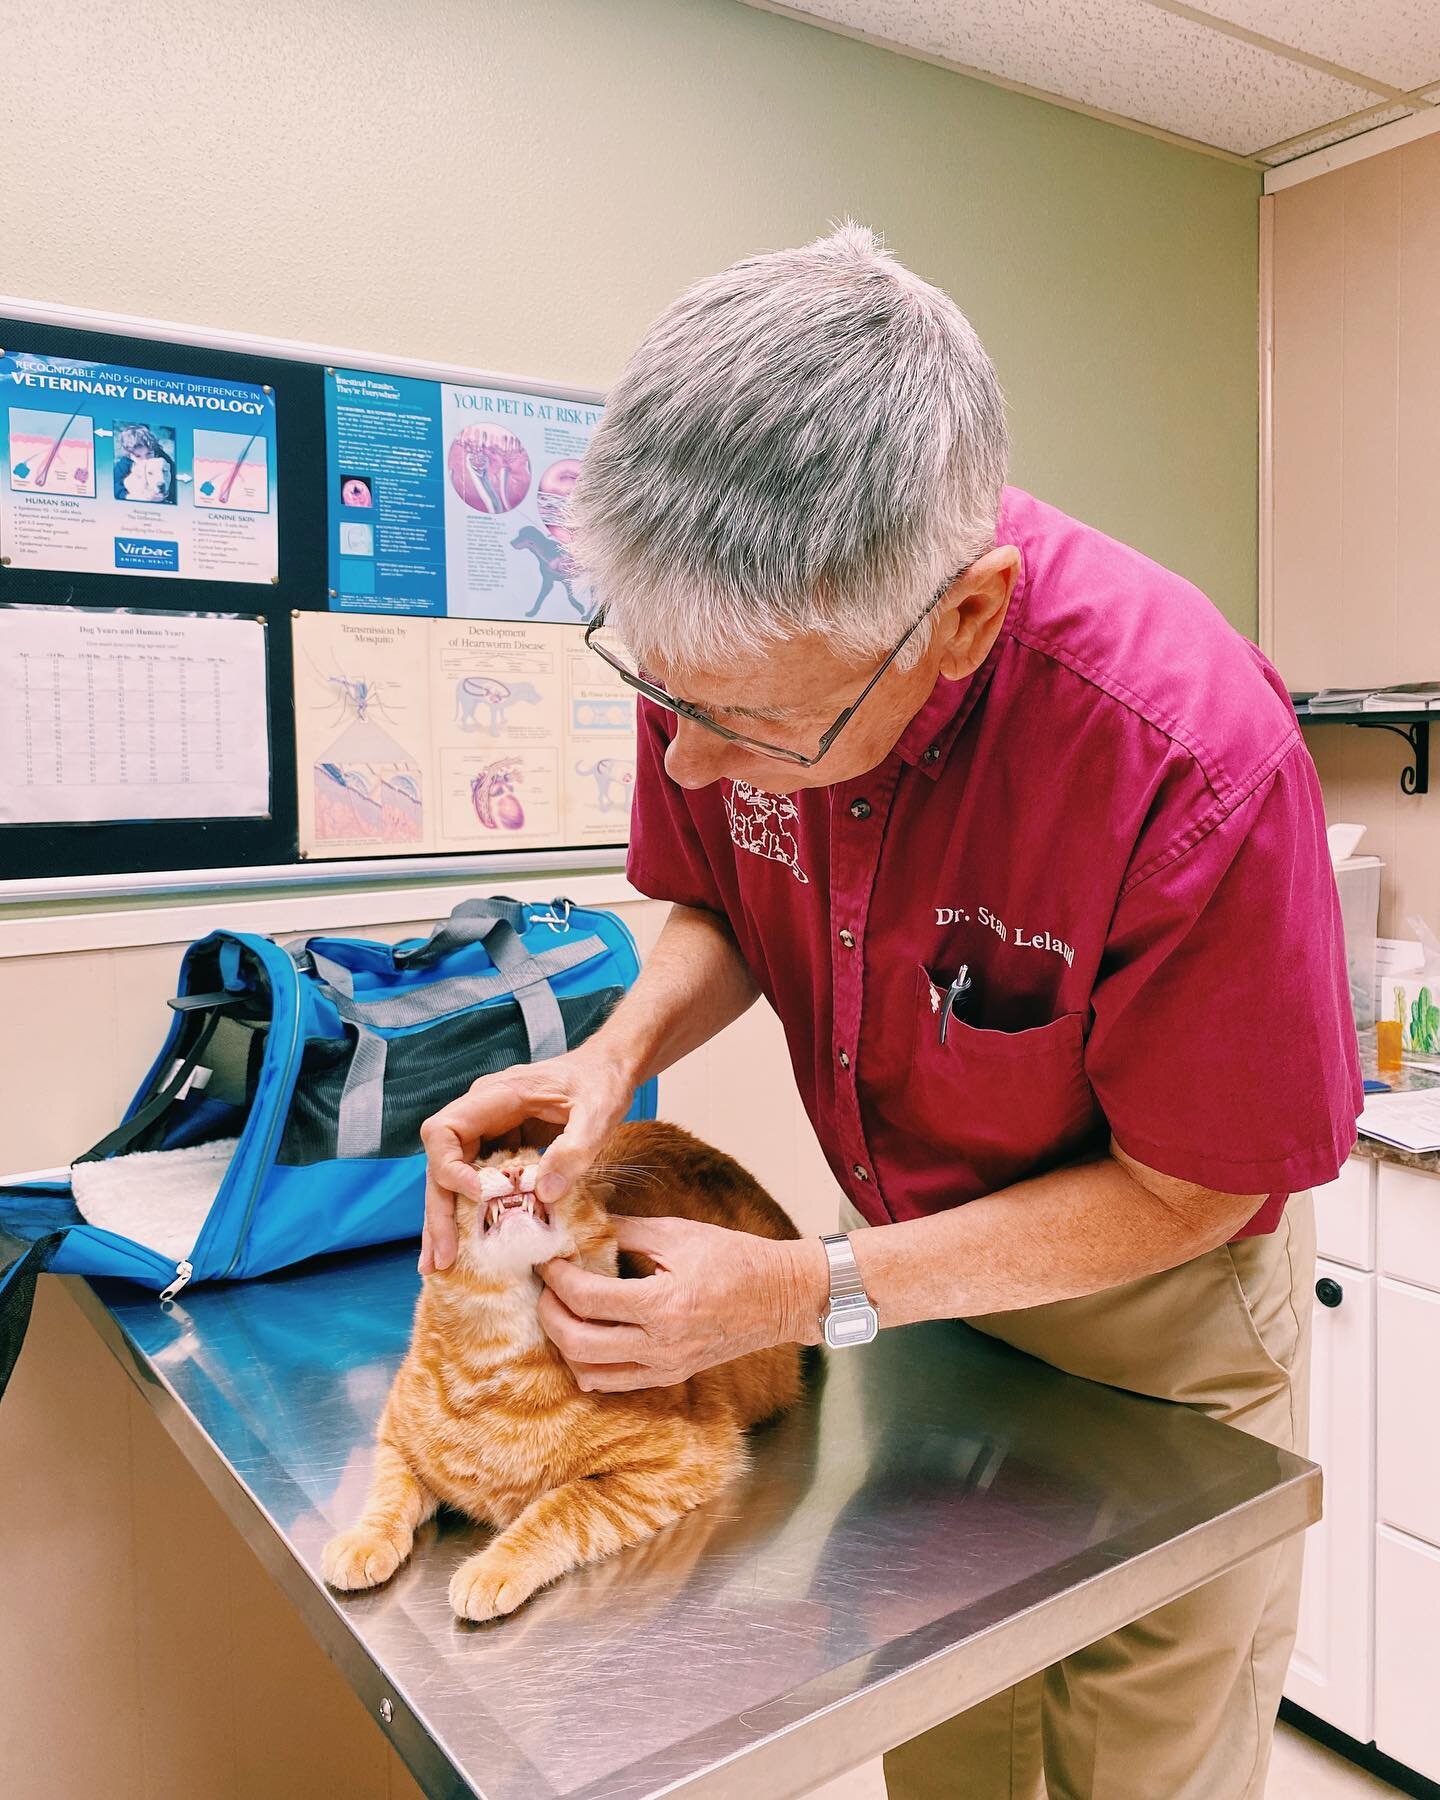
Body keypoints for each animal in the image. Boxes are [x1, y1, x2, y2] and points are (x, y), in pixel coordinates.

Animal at [318, 1116, 802, 1627]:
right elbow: (389, 1493)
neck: (494, 1377)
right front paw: (365, 1540)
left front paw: (494, 1567)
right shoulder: (396, 1437)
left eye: (540, 1156)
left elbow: (559, 1508)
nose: (513, 1172)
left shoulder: (678, 1464)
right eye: (483, 1163)